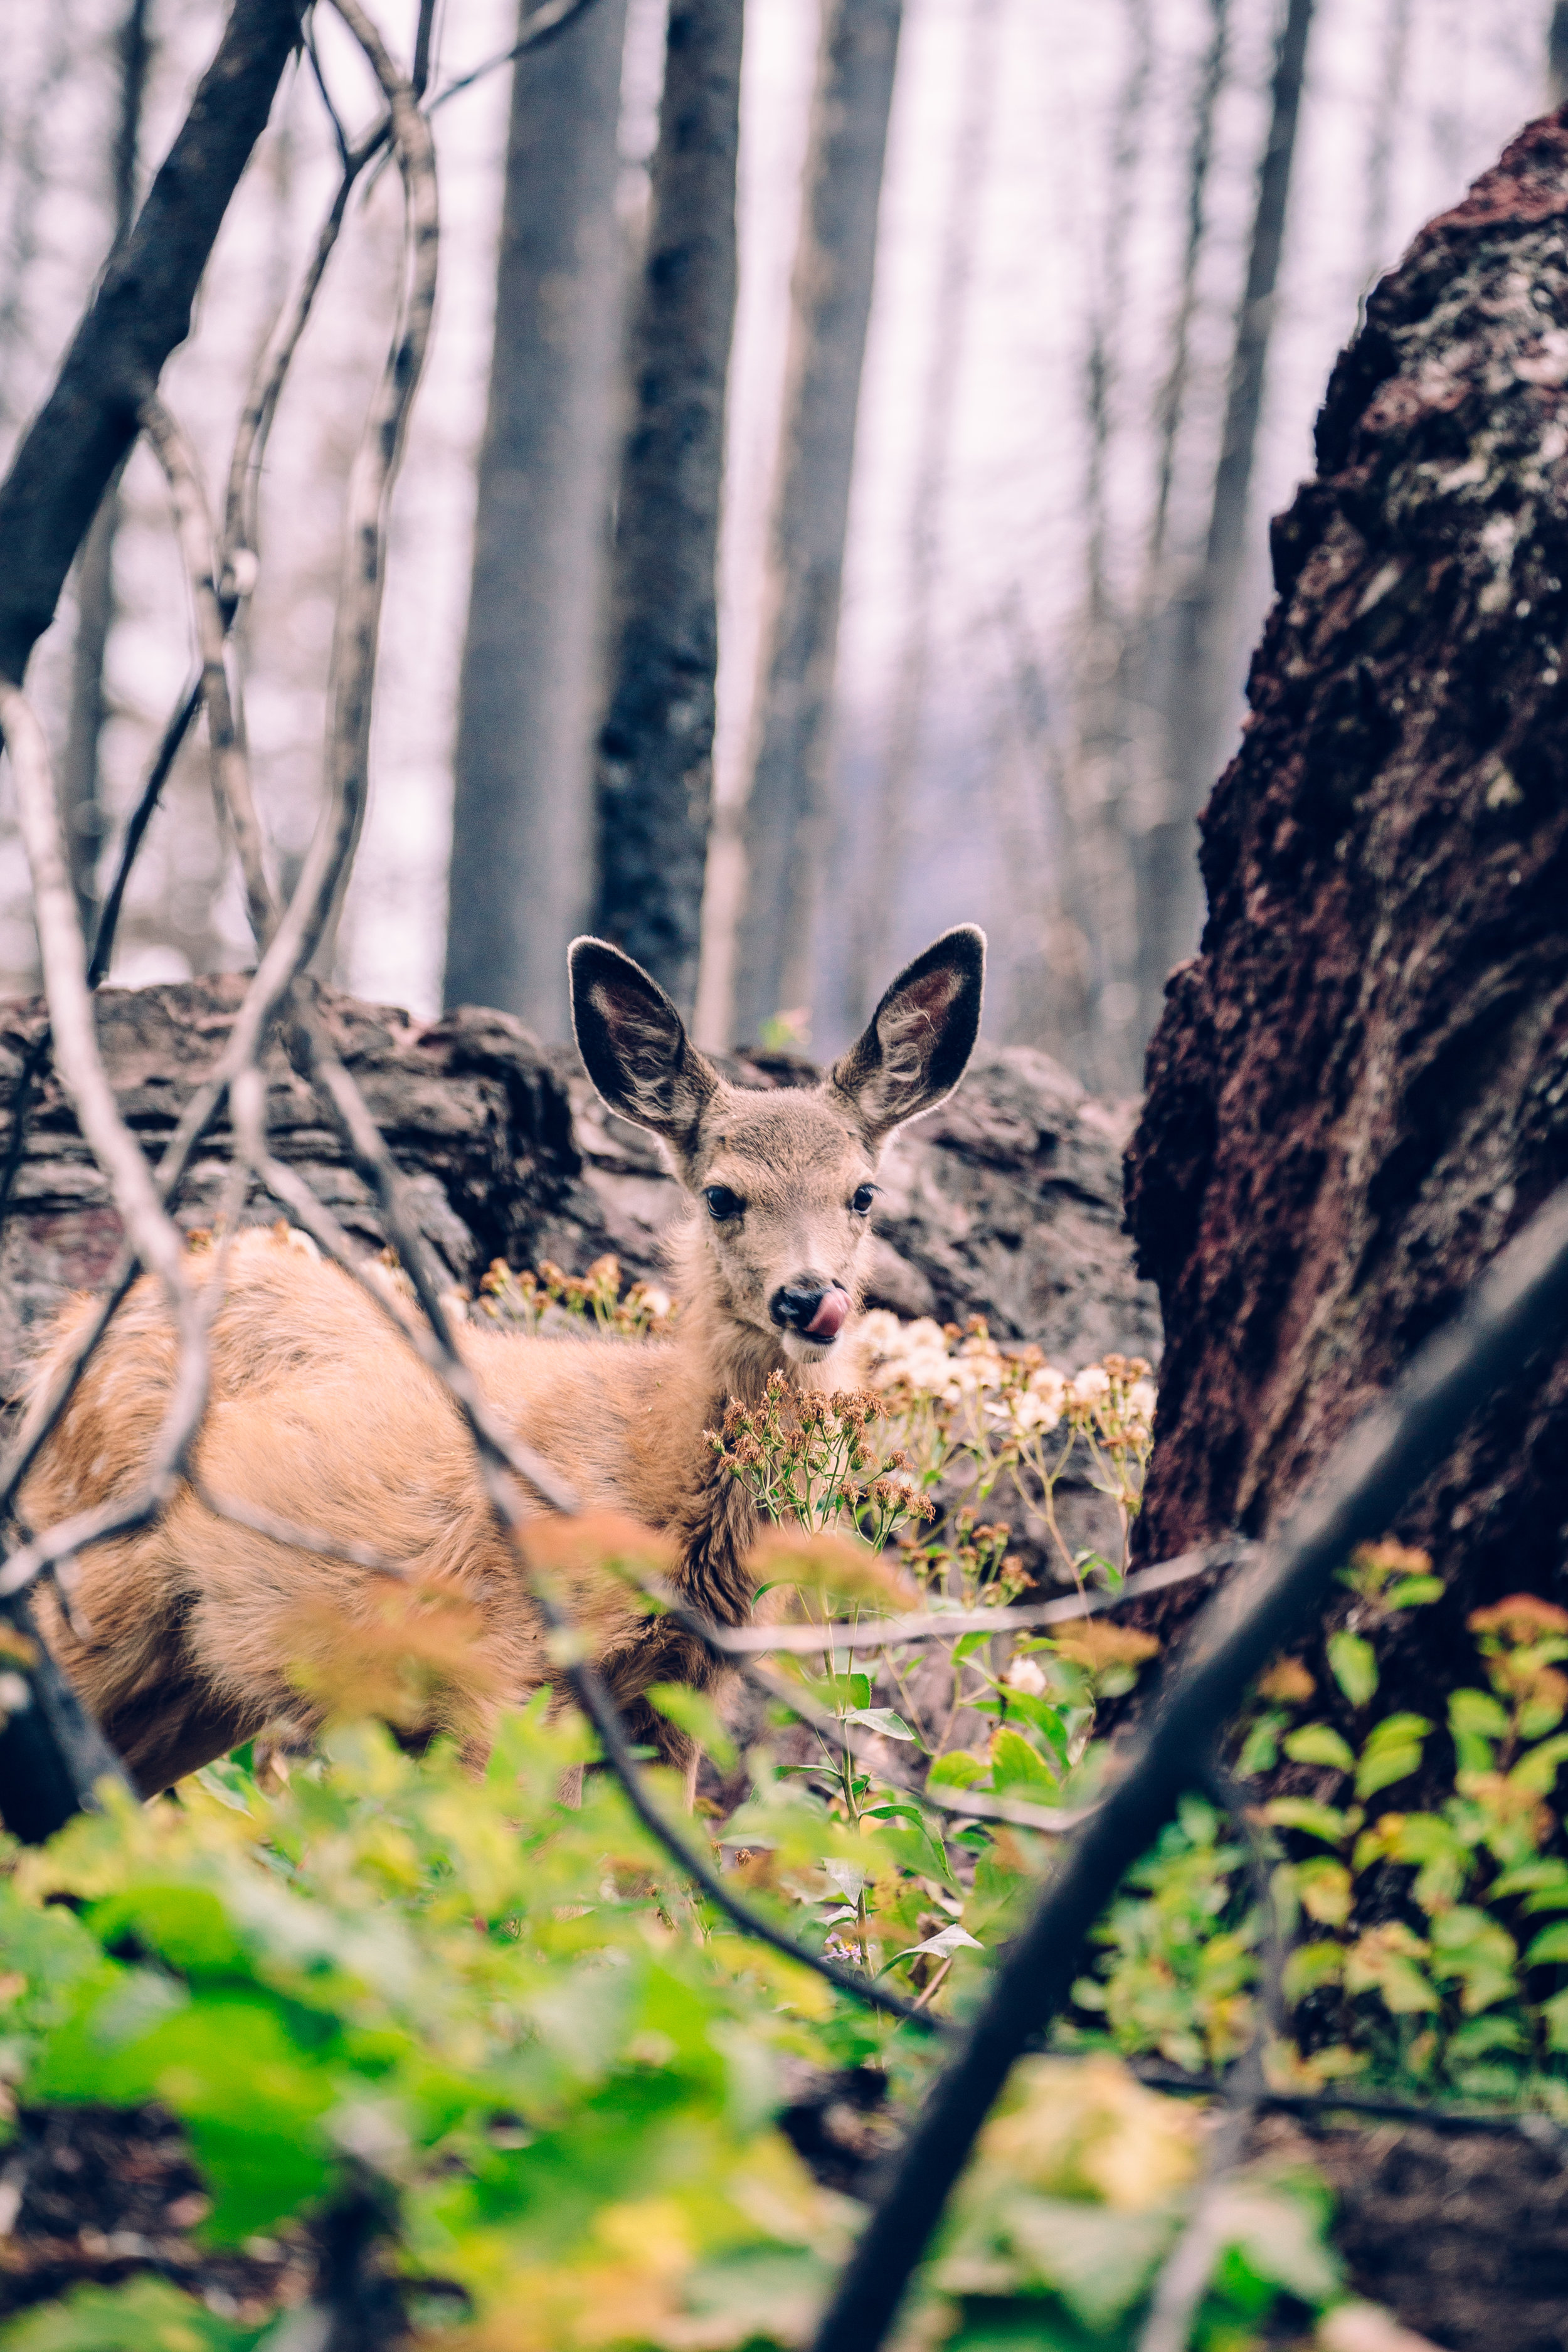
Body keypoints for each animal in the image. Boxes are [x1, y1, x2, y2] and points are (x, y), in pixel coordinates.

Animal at [15, 922, 982, 1797]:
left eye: (863, 1193)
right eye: (721, 1196)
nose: (809, 1297)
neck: (656, 1467)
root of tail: (64, 1338)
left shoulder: (678, 1692)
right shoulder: (508, 1664)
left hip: (193, 1678)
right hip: (90, 1580)